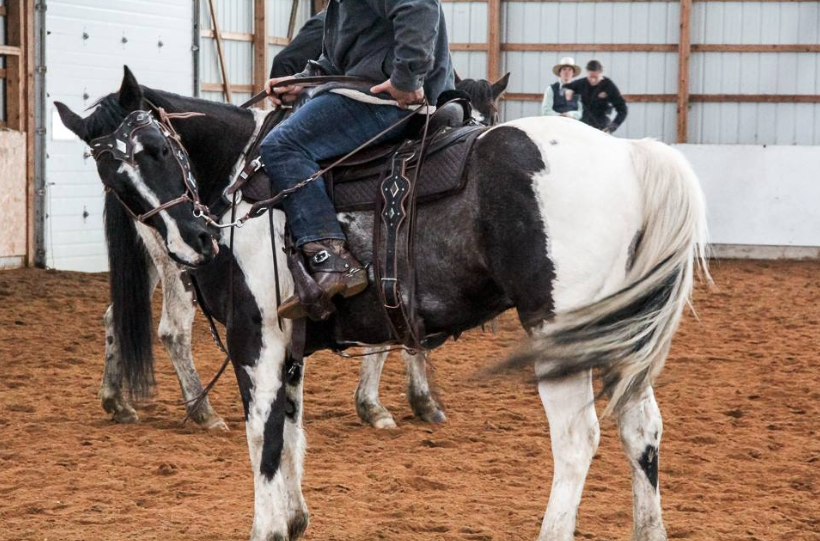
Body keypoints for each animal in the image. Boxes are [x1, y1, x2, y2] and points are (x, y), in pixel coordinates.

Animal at [94, 73, 506, 430]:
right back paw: (203, 411)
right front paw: (383, 405)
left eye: (494, 115)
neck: (232, 166)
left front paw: (410, 401)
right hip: (176, 268)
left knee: (115, 316)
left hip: (157, 261)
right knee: (173, 330)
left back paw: (117, 401)